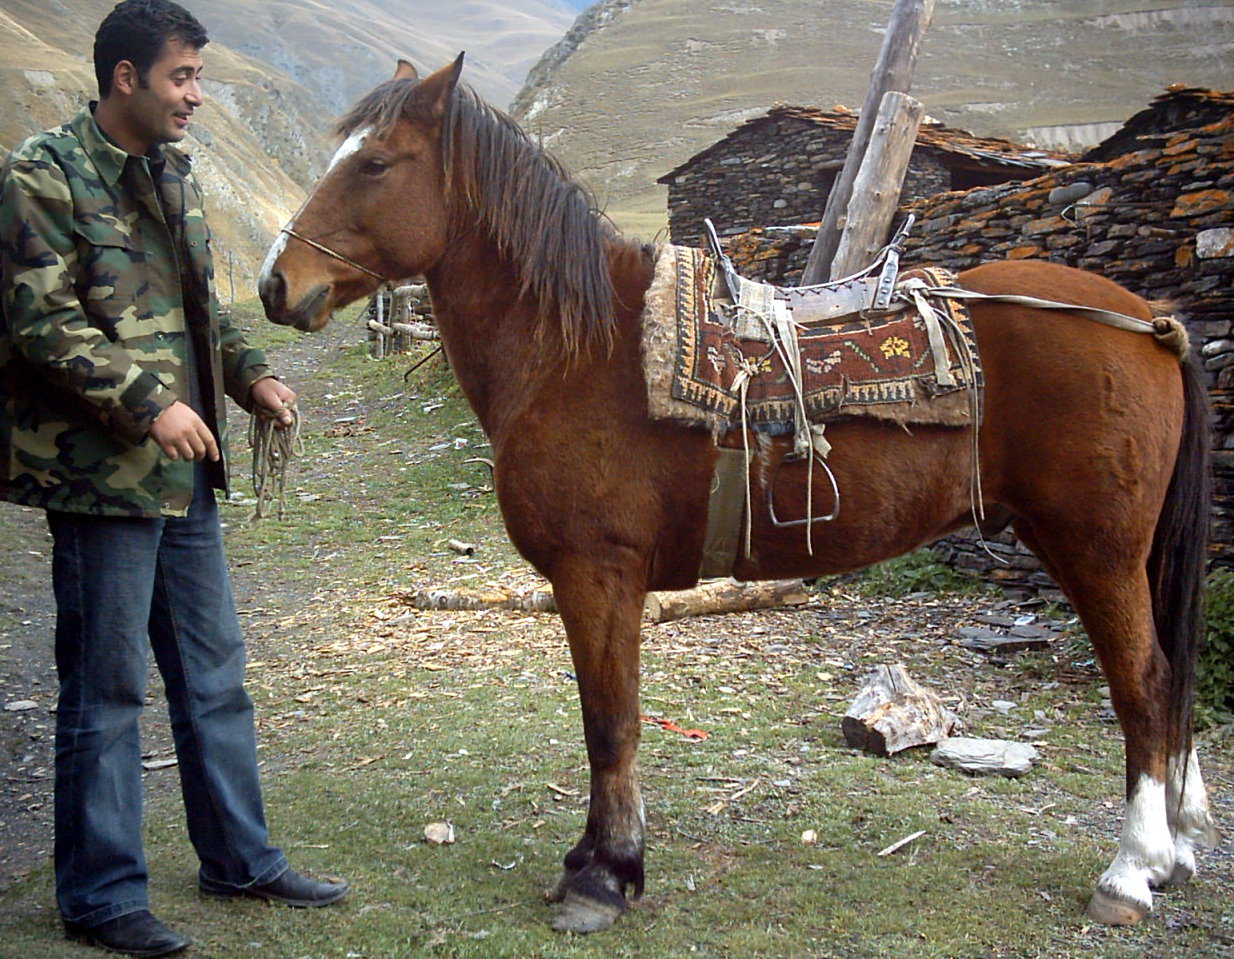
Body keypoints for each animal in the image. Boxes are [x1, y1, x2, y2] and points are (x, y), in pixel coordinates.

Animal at [257, 56, 1214, 933]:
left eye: (375, 163)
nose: (274, 284)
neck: (581, 349)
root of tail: (1147, 319)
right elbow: (608, 718)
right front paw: (596, 859)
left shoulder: (596, 573)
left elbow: (610, 722)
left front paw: (605, 874)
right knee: (1168, 682)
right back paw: (1173, 851)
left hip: (1094, 547)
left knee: (1144, 684)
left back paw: (1132, 869)